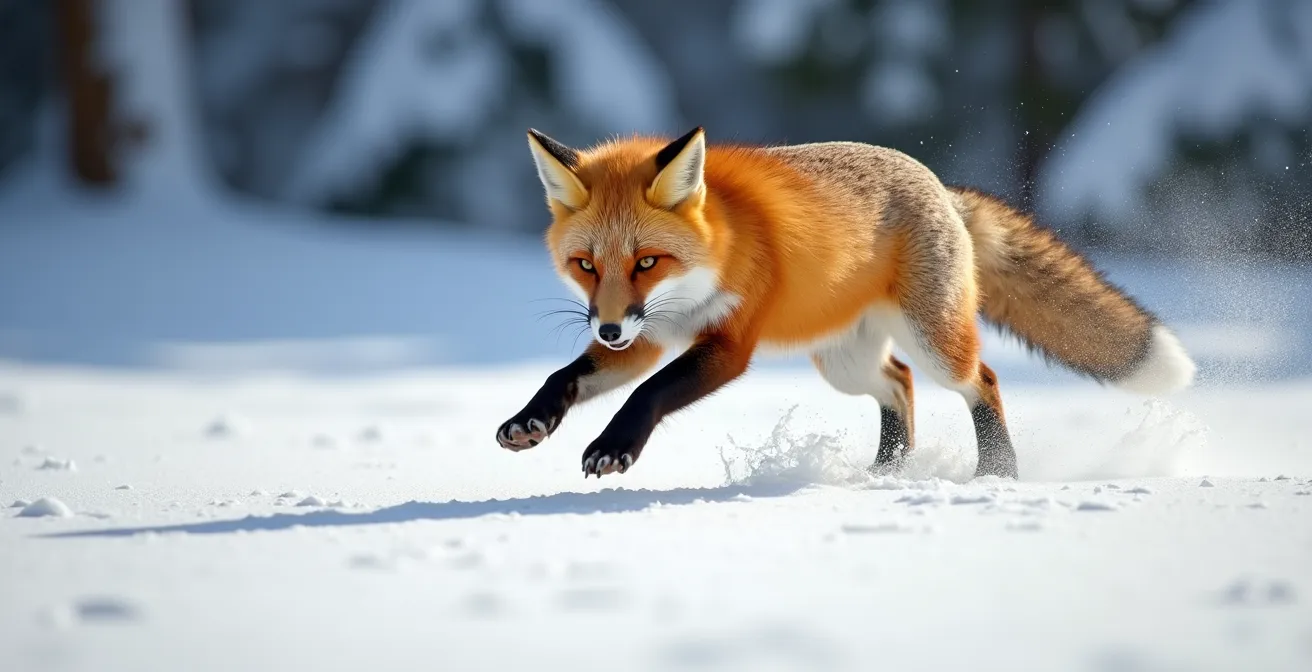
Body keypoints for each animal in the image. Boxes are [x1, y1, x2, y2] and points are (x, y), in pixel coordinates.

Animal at [495, 126, 1197, 480]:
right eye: (586, 266)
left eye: (647, 262)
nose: (609, 328)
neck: (717, 250)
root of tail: (941, 185)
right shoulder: (647, 338)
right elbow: (565, 376)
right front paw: (531, 421)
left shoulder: (727, 344)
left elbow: (650, 394)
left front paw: (613, 448)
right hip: (844, 364)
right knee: (900, 384)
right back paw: (885, 472)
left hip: (933, 341)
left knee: (983, 379)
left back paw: (997, 471)